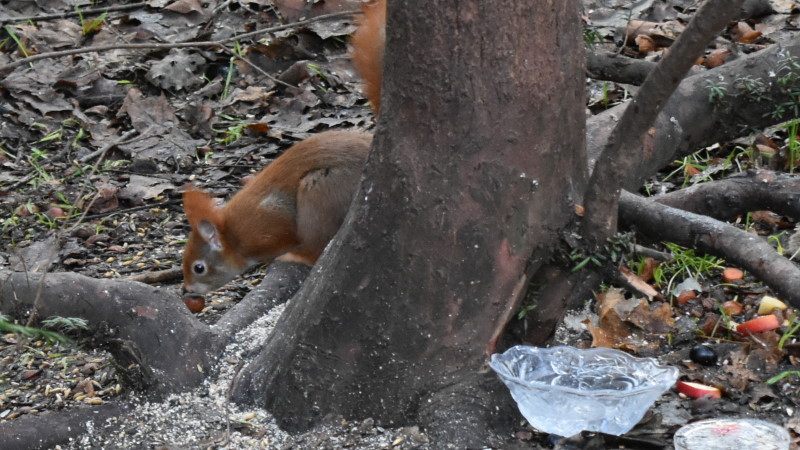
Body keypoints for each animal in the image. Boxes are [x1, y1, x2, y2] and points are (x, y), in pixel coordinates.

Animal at [185, 0, 390, 296]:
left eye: (199, 267)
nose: (186, 291)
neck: (233, 236)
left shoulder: (271, 223)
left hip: (320, 192)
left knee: (316, 247)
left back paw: (298, 255)